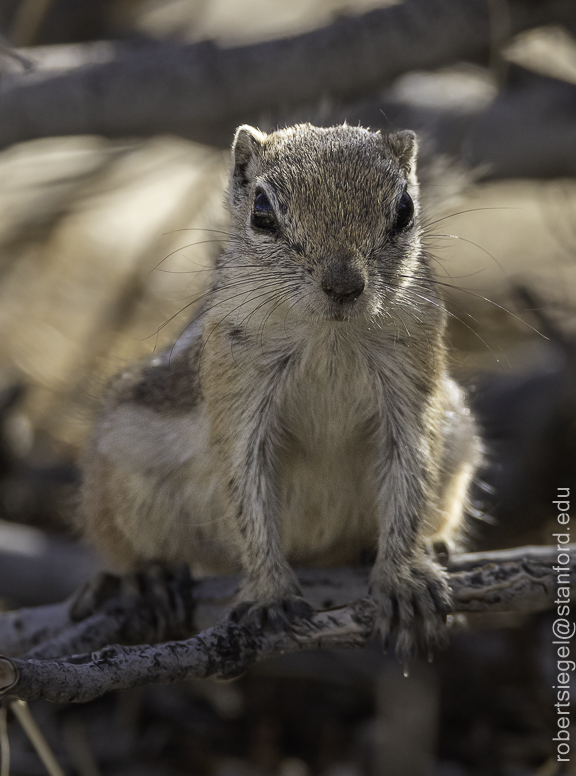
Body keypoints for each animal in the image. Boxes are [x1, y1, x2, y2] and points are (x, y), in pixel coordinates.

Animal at [77, 124, 482, 656]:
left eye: (405, 209)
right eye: (262, 212)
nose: (343, 283)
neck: (329, 337)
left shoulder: (411, 384)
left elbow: (410, 477)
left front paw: (404, 579)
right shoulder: (239, 392)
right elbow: (245, 490)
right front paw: (269, 596)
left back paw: (428, 543)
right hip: (120, 471)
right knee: (119, 541)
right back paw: (149, 577)